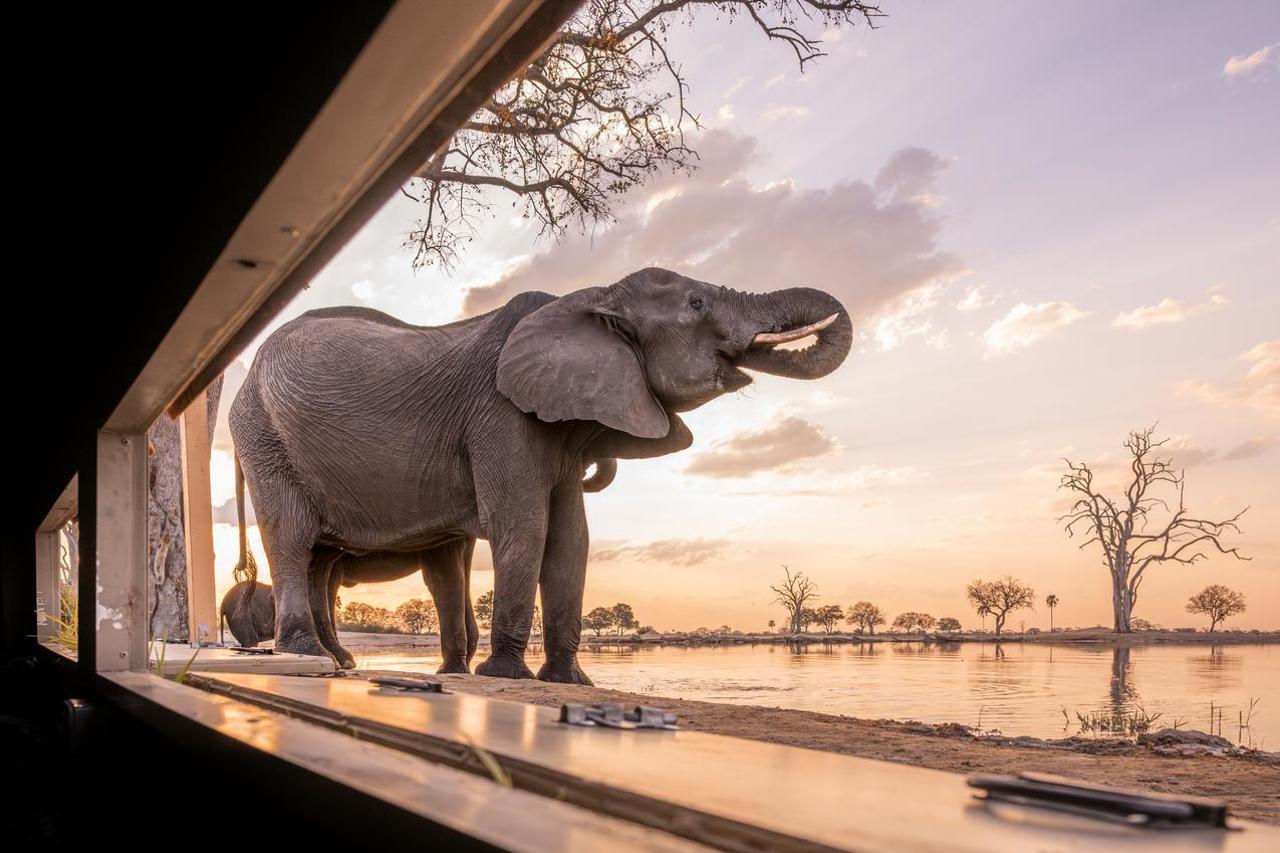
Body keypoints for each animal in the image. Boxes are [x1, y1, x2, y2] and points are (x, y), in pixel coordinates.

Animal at [229, 267, 851, 683]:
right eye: (696, 303)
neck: (592, 298)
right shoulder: (500, 412)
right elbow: (524, 527)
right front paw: (504, 675)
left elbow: (572, 540)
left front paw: (569, 681)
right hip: (262, 435)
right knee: (292, 539)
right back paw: (309, 657)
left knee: (318, 559)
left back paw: (335, 661)